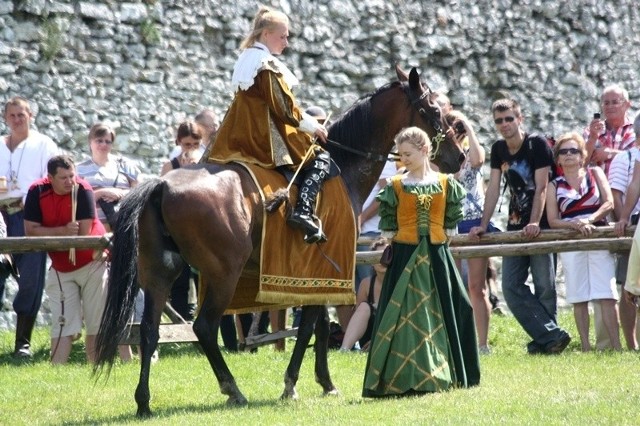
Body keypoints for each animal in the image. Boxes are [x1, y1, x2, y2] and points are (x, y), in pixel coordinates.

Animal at [92, 65, 462, 416]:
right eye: (433, 109)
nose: (458, 157)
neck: (344, 168)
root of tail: (161, 185)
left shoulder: (318, 273)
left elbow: (321, 324)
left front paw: (325, 382)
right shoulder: (327, 267)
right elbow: (311, 326)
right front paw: (294, 384)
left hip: (159, 275)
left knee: (149, 330)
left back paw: (143, 401)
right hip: (222, 275)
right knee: (205, 327)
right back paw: (232, 389)